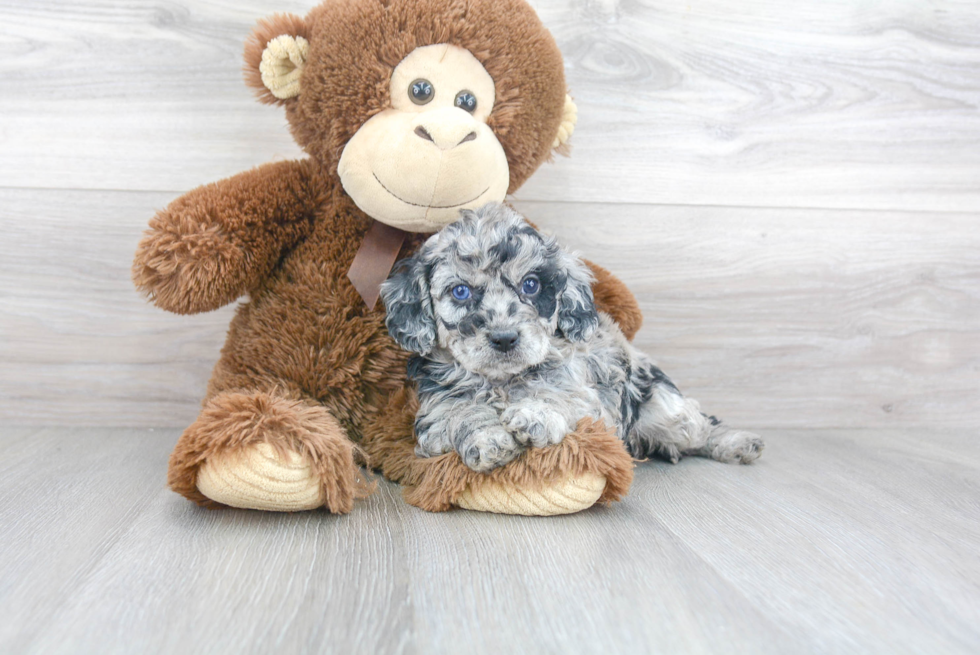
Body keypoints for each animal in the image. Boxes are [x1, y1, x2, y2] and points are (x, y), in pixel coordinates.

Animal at [378, 204, 760, 472]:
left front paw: (535, 414)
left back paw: (738, 443)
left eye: (531, 285)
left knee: (701, 426)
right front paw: (488, 439)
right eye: (460, 291)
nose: (504, 338)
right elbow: (461, 412)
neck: (502, 382)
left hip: (668, 410)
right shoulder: (435, 412)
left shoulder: (591, 400)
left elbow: (562, 395)